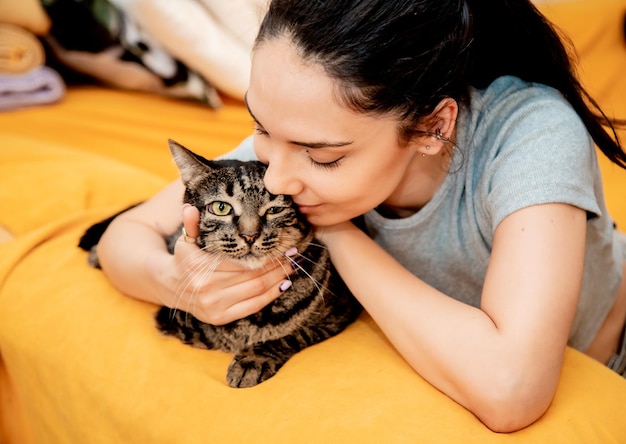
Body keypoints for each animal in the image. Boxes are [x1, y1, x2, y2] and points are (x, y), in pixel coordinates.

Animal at [79, 140, 360, 386]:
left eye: (274, 209)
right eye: (221, 208)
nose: (250, 235)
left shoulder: (339, 314)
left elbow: (292, 335)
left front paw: (251, 360)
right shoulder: (173, 318)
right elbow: (211, 333)